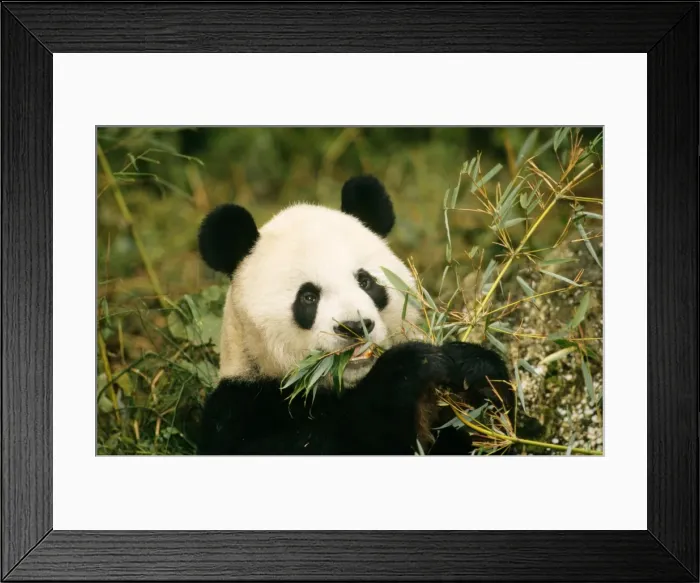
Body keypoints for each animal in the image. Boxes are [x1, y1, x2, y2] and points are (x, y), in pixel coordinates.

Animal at [195, 175, 515, 455]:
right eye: (308, 297)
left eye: (365, 281)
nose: (354, 326)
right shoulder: (242, 406)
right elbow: (321, 442)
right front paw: (408, 369)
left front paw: (475, 369)